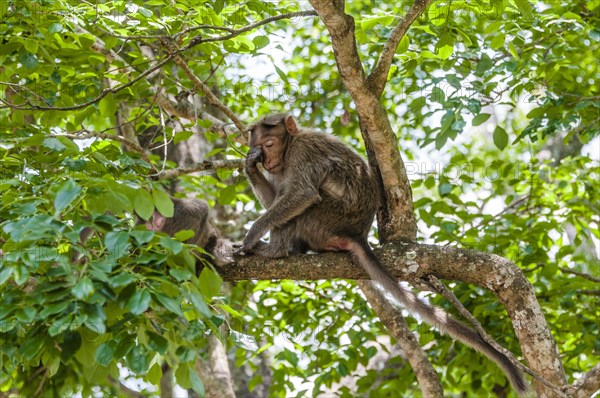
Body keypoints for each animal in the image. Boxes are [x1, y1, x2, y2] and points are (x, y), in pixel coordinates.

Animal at [239, 112, 528, 394]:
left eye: (269, 144)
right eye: (259, 147)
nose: (267, 160)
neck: (290, 147)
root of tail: (357, 234)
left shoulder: (303, 153)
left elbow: (301, 195)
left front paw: (254, 232)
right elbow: (277, 197)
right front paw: (249, 167)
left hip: (328, 219)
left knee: (308, 203)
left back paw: (275, 251)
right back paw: (292, 249)